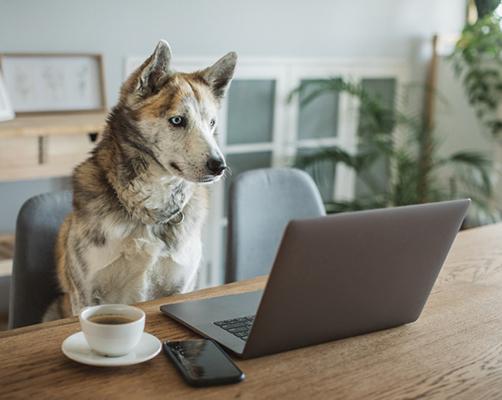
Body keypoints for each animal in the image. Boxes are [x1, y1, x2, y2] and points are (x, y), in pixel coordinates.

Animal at [43, 40, 237, 320]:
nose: (219, 166)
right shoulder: (86, 294)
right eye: (177, 120)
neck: (148, 210)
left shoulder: (181, 287)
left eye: (211, 123)